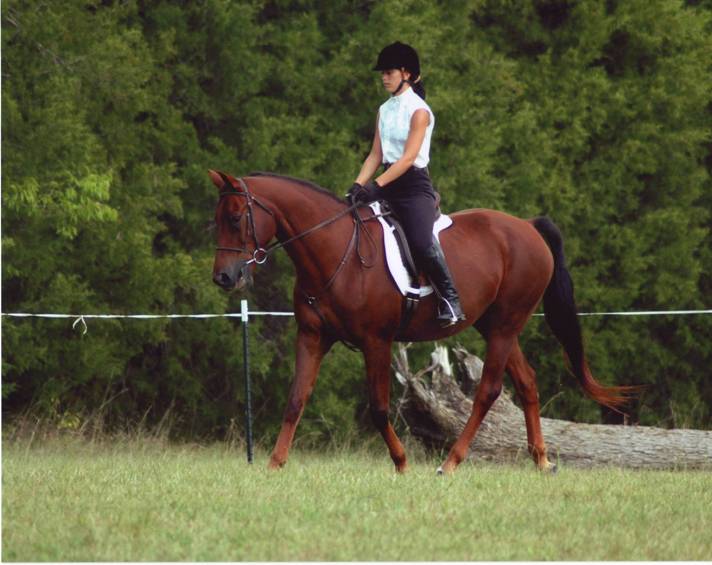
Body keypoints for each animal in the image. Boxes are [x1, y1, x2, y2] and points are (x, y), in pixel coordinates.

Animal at [210, 169, 633, 474]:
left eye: (236, 218)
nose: (224, 278)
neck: (334, 252)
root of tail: (528, 227)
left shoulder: (376, 341)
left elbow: (379, 407)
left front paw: (401, 463)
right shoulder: (313, 336)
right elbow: (296, 398)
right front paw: (274, 464)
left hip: (505, 325)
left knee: (488, 391)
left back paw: (451, 462)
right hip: (496, 325)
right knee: (527, 382)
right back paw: (542, 460)